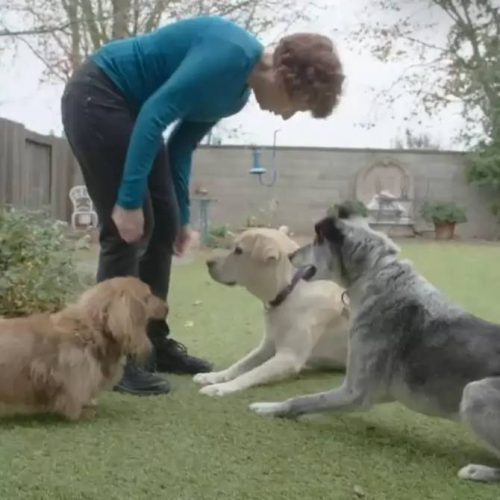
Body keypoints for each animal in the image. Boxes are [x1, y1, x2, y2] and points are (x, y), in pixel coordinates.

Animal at [193, 226, 350, 394]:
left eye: (238, 250)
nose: (208, 262)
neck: (289, 290)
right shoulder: (266, 347)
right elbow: (240, 365)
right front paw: (214, 376)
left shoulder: (289, 357)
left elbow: (252, 373)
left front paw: (222, 387)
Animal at [250, 209, 500, 482]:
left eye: (317, 240)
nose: (291, 255)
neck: (376, 275)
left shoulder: (354, 392)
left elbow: (299, 400)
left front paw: (269, 407)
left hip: (474, 392)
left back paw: (478, 470)